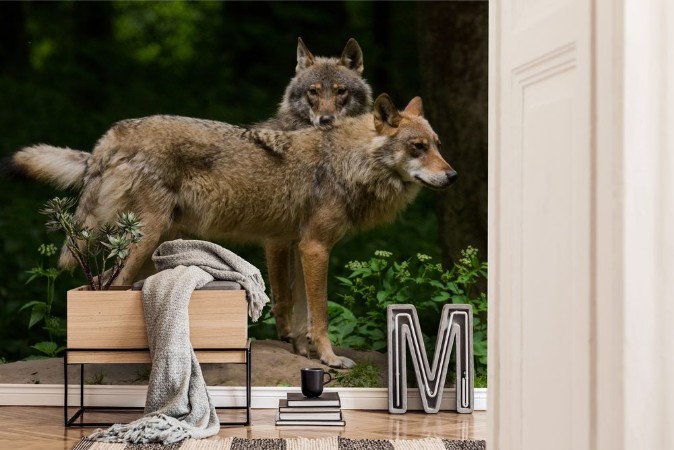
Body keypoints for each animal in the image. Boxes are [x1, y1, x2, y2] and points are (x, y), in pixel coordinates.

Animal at [11, 94, 457, 368]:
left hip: (147, 248)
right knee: (111, 292)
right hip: (144, 242)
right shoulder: (315, 247)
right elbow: (319, 313)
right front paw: (330, 359)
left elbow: (297, 310)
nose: (453, 176)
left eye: (437, 144)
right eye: (417, 148)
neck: (348, 162)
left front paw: (302, 351)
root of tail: (112, 134)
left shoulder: (297, 245)